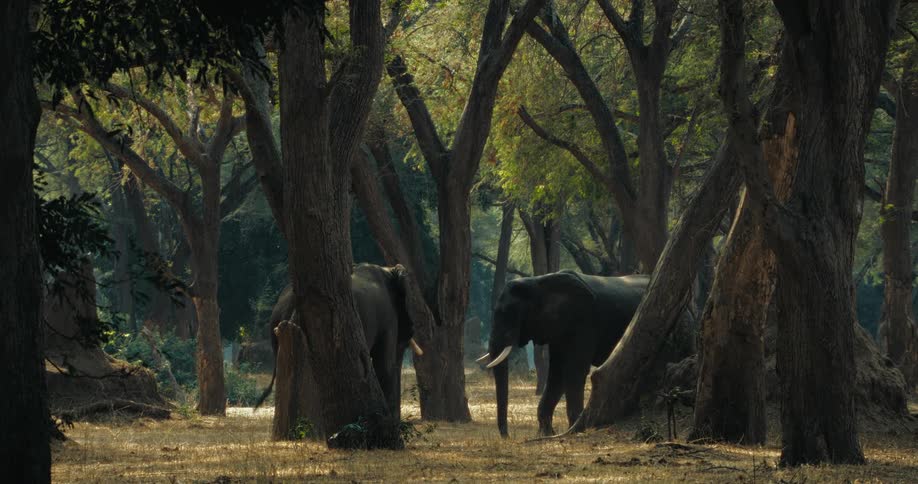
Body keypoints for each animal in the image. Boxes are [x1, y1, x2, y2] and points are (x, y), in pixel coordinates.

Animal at [476, 270, 649, 437]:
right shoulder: (557, 330)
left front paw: (574, 429)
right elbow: (556, 373)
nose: (508, 436)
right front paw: (546, 434)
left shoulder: (583, 321)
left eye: (508, 313)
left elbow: (574, 370)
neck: (537, 282)